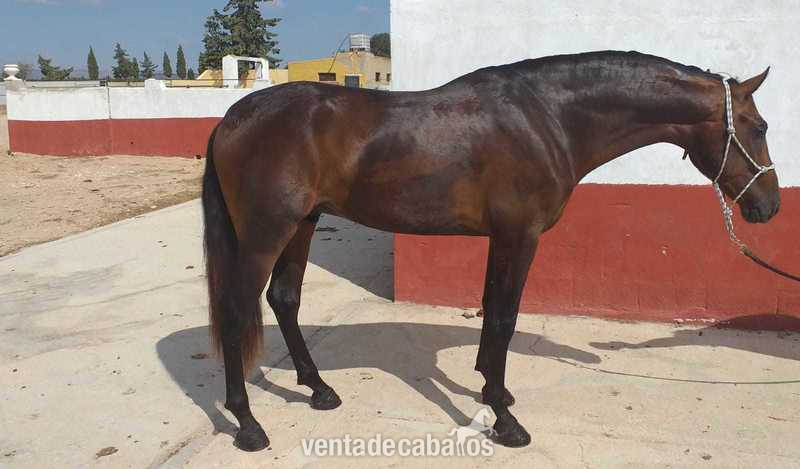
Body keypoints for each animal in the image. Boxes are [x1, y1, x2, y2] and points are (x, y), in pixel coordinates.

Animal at [201, 50, 779, 451]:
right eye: (759, 126)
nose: (769, 206)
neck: (549, 117)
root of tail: (232, 117)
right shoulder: (518, 236)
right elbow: (503, 317)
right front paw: (506, 420)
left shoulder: (502, 238)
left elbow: (491, 314)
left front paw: (490, 392)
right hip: (266, 233)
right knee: (236, 310)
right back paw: (248, 423)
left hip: (303, 224)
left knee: (284, 299)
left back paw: (319, 390)